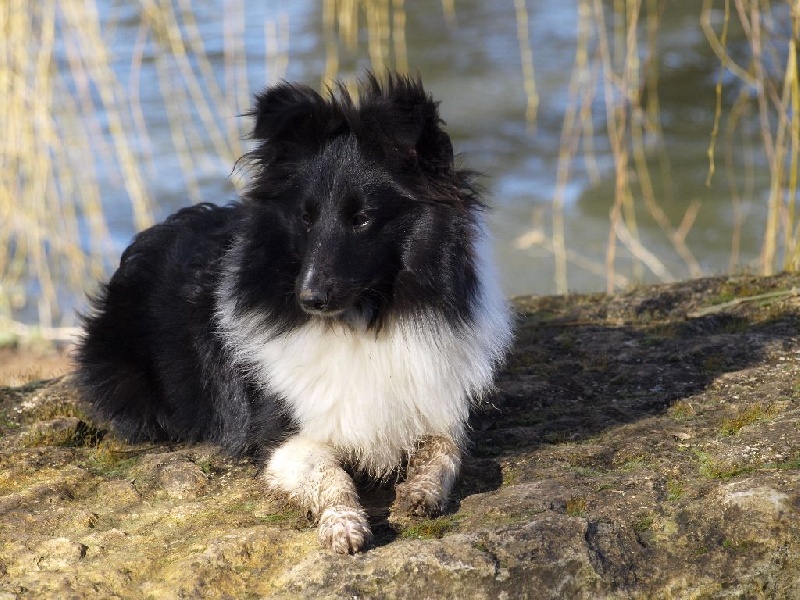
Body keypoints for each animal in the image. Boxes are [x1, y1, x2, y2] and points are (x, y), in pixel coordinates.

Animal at [75, 74, 512, 552]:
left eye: (362, 219)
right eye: (306, 218)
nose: (310, 299)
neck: (362, 320)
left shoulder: (432, 405)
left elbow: (444, 447)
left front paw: (420, 492)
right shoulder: (282, 438)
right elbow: (331, 474)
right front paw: (344, 525)